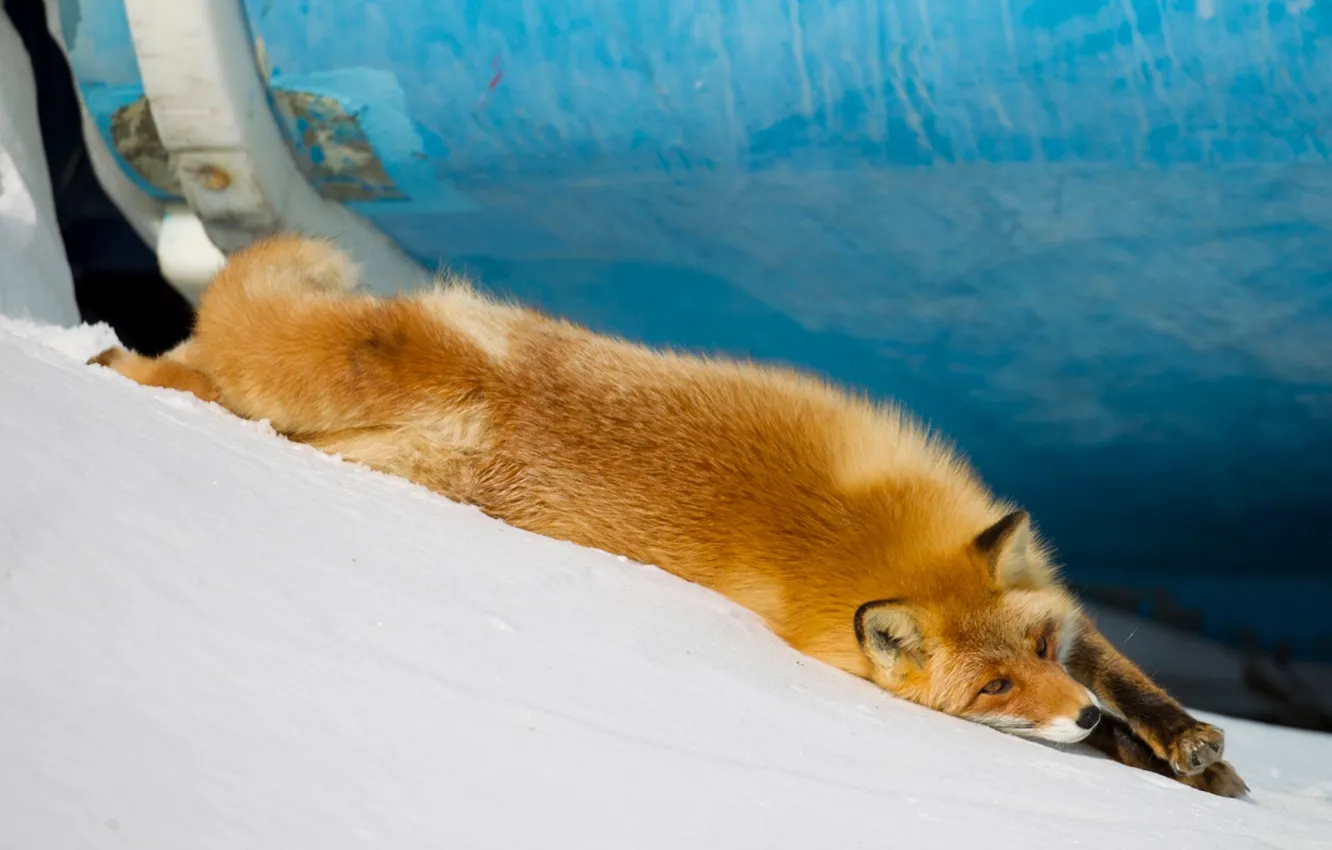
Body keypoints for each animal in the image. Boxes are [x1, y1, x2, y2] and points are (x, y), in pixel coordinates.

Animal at [90, 233, 1247, 797]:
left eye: (1036, 655)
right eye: (997, 687)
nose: (1078, 724)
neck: (849, 535)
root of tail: (474, 374)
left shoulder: (1055, 597)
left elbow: (1127, 676)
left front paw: (1170, 741)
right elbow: (1119, 684)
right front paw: (1146, 749)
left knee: (211, 366)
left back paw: (121, 364)